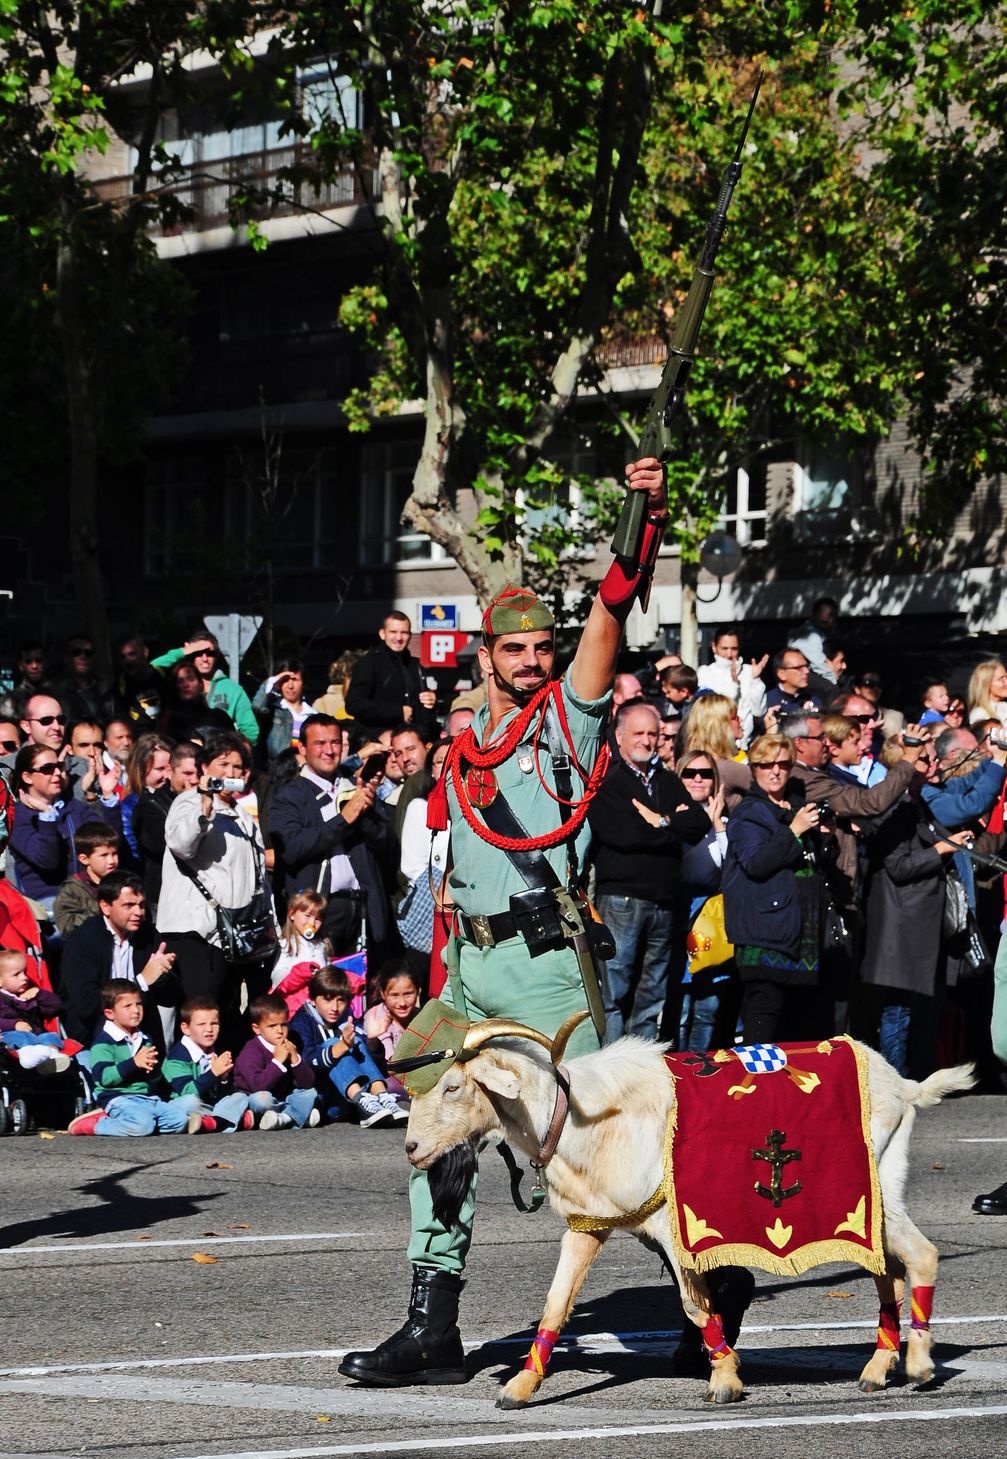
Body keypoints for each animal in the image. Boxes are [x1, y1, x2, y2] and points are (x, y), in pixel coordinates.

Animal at [402, 1015, 974, 1412]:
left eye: (453, 1086)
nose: (411, 1148)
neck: (574, 1119)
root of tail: (904, 1085)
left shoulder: (673, 1225)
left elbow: (696, 1304)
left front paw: (725, 1381)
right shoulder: (589, 1226)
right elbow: (555, 1304)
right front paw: (520, 1388)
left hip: (875, 1197)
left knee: (921, 1255)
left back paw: (918, 1365)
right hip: (872, 1204)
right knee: (888, 1272)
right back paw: (878, 1368)